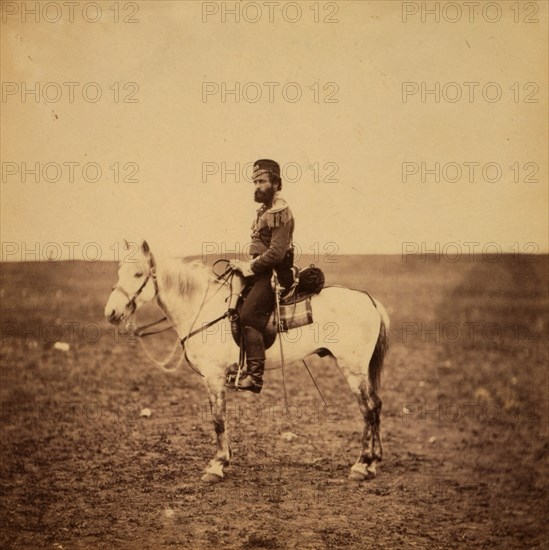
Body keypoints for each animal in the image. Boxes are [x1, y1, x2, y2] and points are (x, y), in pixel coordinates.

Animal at [104, 240, 390, 484]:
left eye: (138, 274)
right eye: (118, 272)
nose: (111, 312)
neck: (201, 309)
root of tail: (369, 300)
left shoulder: (214, 376)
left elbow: (218, 419)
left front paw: (217, 465)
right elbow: (221, 418)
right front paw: (224, 460)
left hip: (353, 369)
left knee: (368, 409)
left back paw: (361, 464)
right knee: (376, 406)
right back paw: (373, 463)